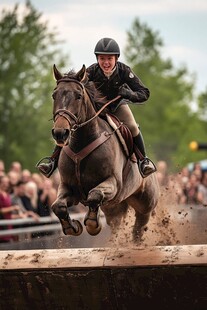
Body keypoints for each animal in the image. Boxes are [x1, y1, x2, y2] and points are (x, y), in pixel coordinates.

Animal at [50, 64, 160, 243]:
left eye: (78, 96)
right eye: (54, 95)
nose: (60, 133)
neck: (81, 144)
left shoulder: (113, 183)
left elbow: (94, 195)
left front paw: (92, 224)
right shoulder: (67, 186)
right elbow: (58, 206)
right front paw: (73, 227)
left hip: (145, 204)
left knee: (139, 226)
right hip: (115, 207)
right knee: (116, 223)